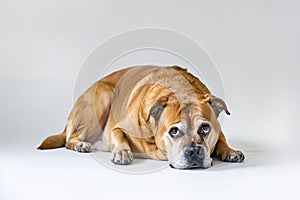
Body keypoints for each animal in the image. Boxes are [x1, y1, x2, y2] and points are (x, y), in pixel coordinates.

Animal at [38, 65, 244, 169]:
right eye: (174, 131)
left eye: (205, 128)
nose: (194, 151)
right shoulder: (119, 127)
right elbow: (119, 135)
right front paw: (122, 152)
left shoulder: (217, 130)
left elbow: (221, 140)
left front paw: (230, 151)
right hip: (103, 96)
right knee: (68, 139)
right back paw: (81, 144)